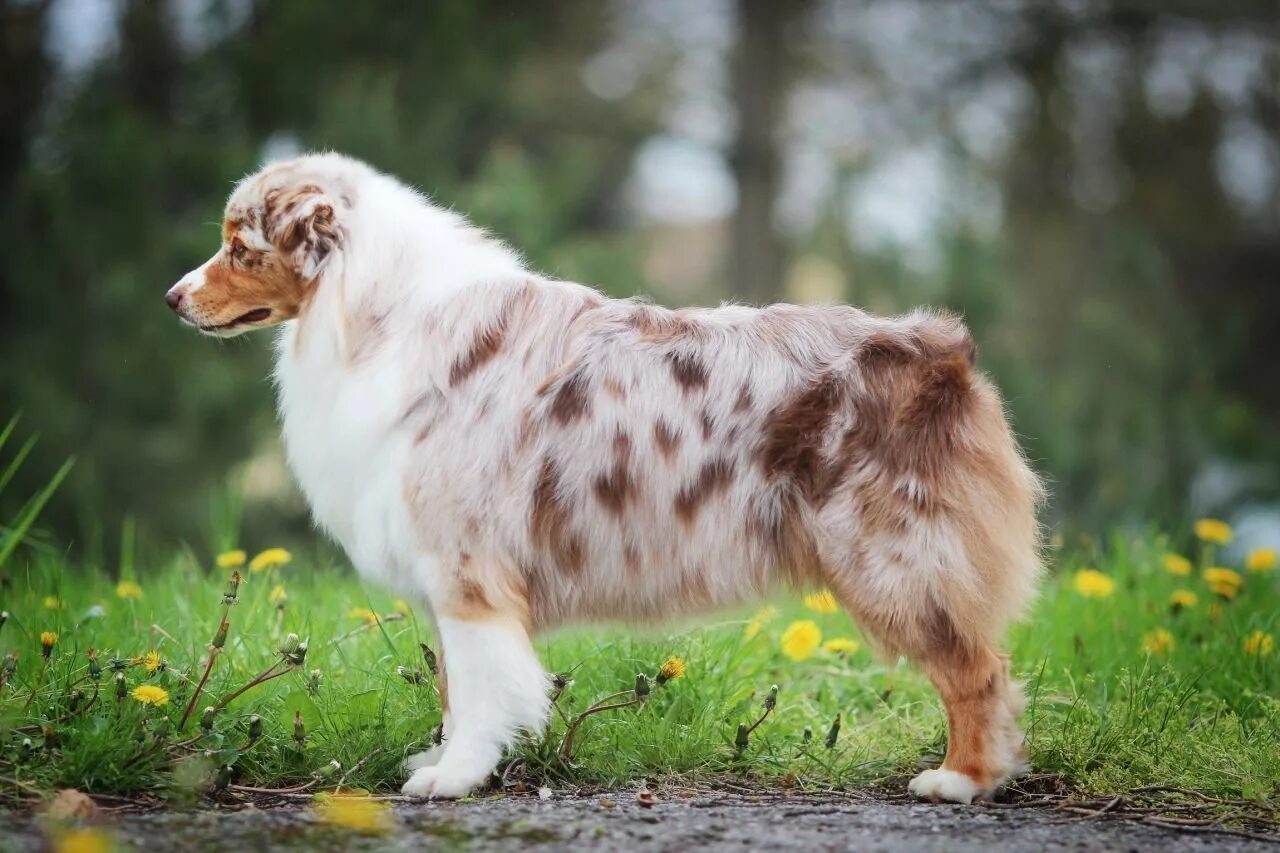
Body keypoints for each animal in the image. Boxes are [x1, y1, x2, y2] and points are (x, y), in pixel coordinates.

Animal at [165, 154, 1044, 804]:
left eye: (239, 247)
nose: (173, 297)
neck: (376, 314)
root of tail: (941, 347)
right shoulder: (447, 574)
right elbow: (452, 685)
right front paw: (443, 762)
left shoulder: (466, 569)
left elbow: (478, 689)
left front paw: (457, 777)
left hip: (893, 553)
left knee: (978, 670)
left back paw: (961, 779)